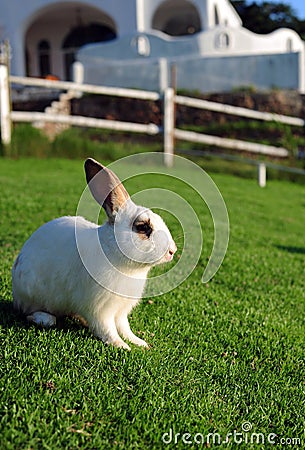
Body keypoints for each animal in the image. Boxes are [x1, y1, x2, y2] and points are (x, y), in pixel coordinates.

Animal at [11, 158, 177, 352]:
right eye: (143, 227)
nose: (172, 251)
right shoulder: (99, 309)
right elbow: (107, 328)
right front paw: (121, 345)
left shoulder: (120, 310)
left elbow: (124, 327)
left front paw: (139, 342)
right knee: (29, 313)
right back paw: (45, 318)